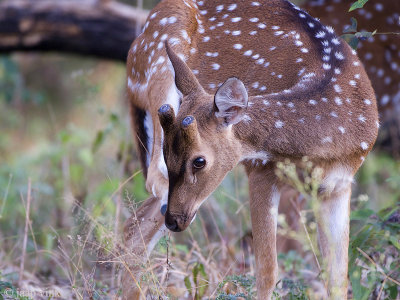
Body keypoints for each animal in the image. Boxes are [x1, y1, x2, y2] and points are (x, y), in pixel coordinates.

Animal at [122, 0, 378, 298]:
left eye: (199, 161)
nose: (175, 221)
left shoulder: (338, 186)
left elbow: (337, 278)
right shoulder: (261, 168)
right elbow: (267, 272)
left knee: (136, 227)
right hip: (158, 71)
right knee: (151, 187)